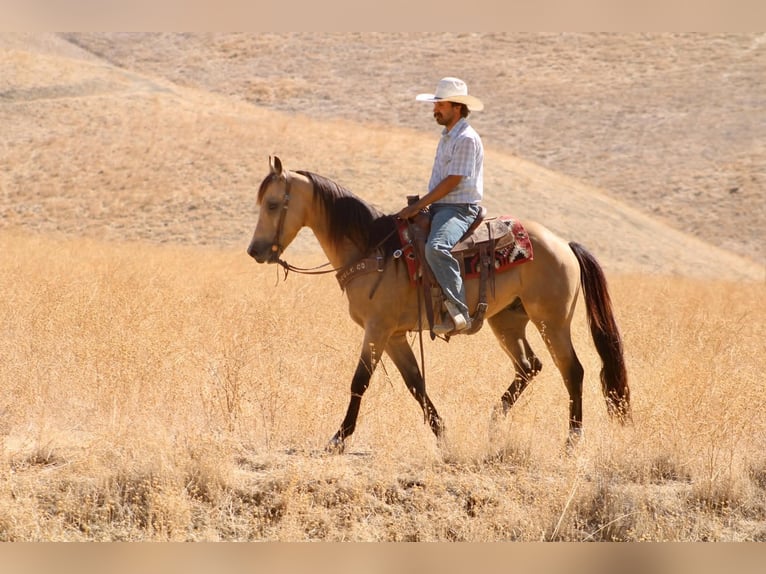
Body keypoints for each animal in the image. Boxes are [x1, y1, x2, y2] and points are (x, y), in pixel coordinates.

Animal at [247, 156, 630, 453]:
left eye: (272, 204)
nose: (255, 251)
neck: (374, 250)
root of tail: (563, 244)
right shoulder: (394, 335)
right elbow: (416, 383)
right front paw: (443, 435)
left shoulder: (377, 329)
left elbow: (360, 382)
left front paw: (338, 439)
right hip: (507, 321)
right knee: (528, 366)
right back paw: (494, 424)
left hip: (552, 320)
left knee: (572, 370)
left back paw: (571, 442)